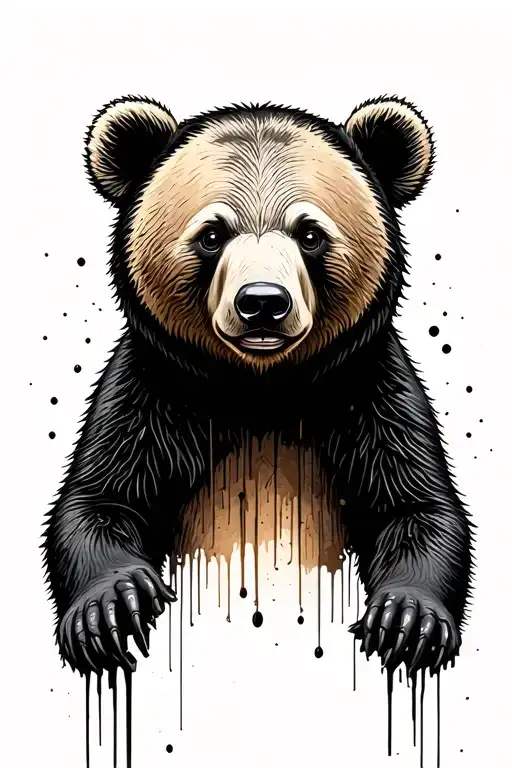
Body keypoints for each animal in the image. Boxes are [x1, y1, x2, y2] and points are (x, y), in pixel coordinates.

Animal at [43, 95, 473, 680]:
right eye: (212, 234)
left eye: (310, 233)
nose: (263, 302)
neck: (260, 389)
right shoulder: (155, 390)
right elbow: (100, 497)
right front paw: (111, 606)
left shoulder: (365, 388)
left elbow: (417, 504)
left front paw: (408, 620)